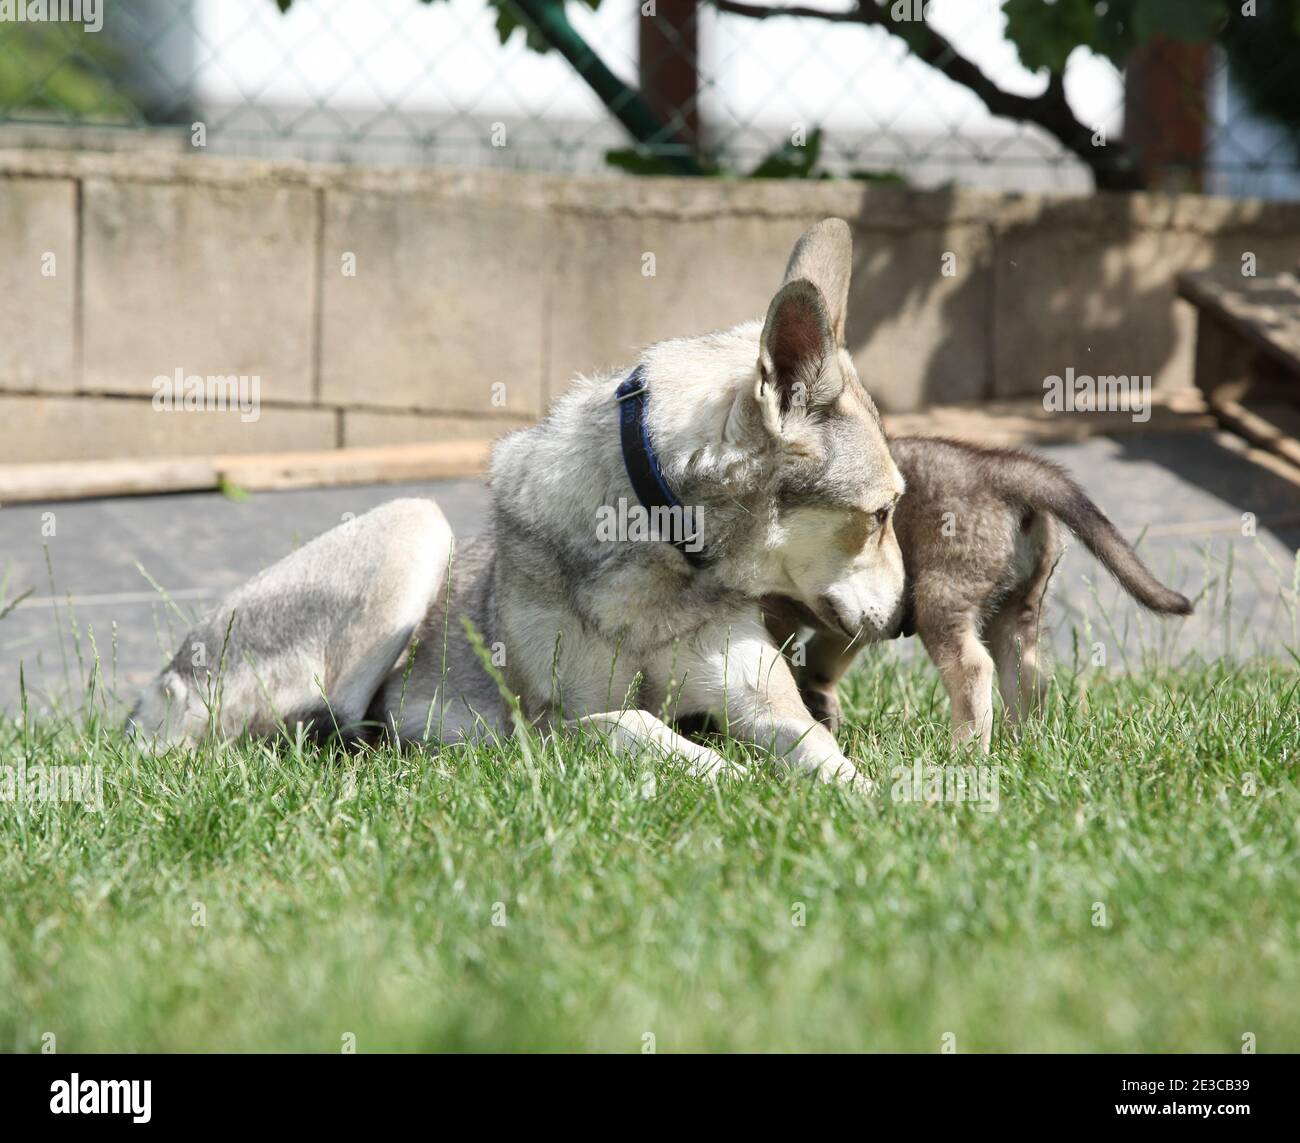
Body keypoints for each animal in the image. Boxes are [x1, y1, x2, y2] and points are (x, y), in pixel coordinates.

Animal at [129, 215, 904, 785]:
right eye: (882, 514)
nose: (904, 621)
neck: (664, 557)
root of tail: (151, 698)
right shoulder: (558, 723)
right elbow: (643, 728)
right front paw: (735, 782)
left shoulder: (761, 703)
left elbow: (829, 760)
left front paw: (885, 806)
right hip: (415, 526)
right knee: (323, 731)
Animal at [764, 436, 1190, 748]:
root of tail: (998, 471)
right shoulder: (855, 613)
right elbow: (822, 656)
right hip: (1019, 606)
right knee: (1029, 671)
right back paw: (1022, 744)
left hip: (942, 598)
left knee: (973, 668)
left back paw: (964, 752)